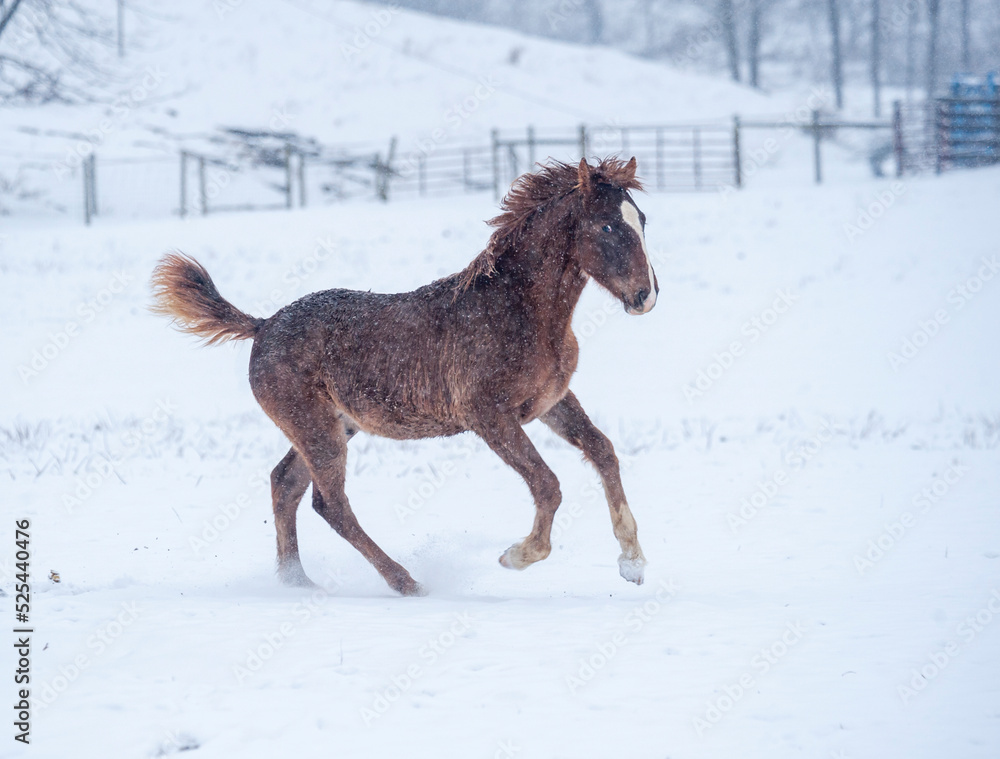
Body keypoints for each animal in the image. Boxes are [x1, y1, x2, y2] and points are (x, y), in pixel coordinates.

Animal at [151, 156, 658, 596]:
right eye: (607, 225)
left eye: (642, 220)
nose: (645, 296)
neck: (518, 311)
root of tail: (262, 326)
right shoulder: (490, 417)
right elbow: (547, 485)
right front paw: (517, 555)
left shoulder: (550, 402)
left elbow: (603, 451)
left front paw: (632, 563)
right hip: (316, 429)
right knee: (329, 504)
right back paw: (407, 582)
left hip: (331, 426)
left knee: (285, 485)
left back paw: (298, 582)